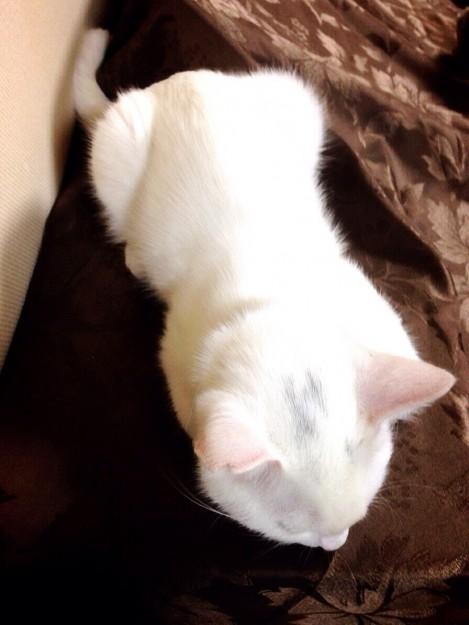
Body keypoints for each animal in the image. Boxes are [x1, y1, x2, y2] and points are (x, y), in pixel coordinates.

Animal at [74, 29, 455, 551]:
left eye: (361, 510)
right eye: (293, 529)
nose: (336, 546)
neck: (275, 298)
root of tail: (179, 80)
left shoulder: (378, 317)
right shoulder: (176, 360)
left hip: (298, 99)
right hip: (114, 154)